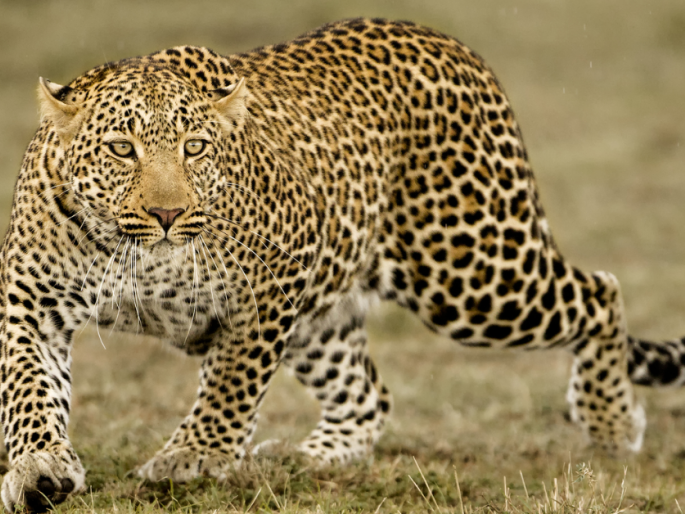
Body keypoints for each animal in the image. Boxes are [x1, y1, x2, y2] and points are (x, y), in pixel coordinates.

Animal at [1, 17, 682, 511]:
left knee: (601, 292)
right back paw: (302, 457)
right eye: (122, 148)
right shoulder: (30, 303)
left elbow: (231, 383)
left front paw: (193, 457)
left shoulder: (277, 275)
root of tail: (449, 42)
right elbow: (28, 389)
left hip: (473, 271)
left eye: (194, 148)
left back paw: (612, 422)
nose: (168, 214)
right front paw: (39, 468)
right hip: (330, 315)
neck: (136, 254)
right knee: (369, 394)